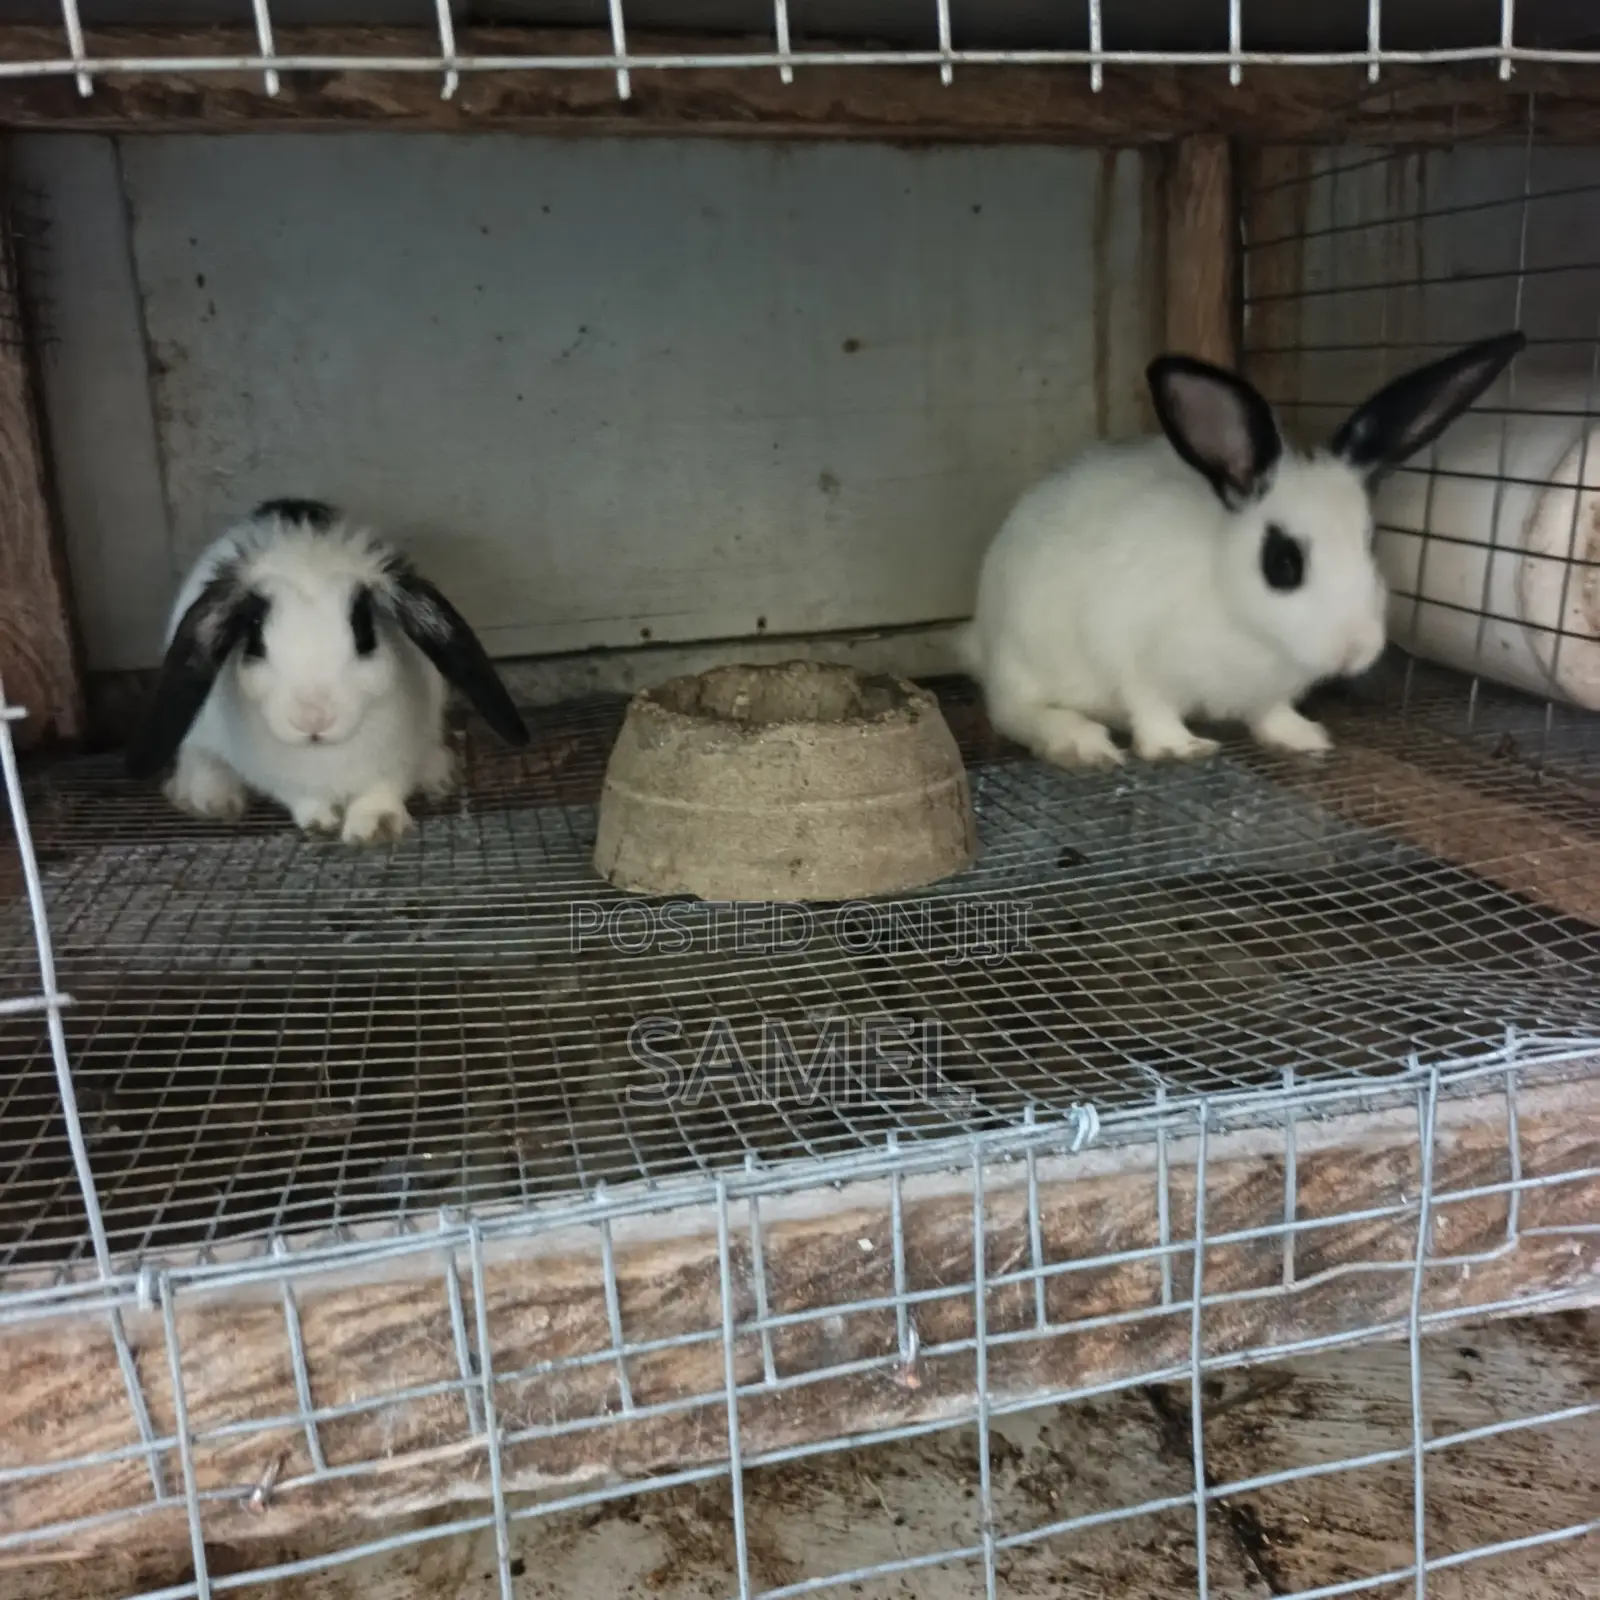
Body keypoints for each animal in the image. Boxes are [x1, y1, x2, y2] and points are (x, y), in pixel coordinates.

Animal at [126, 498, 531, 845]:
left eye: (364, 634)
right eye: (255, 639)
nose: (313, 719)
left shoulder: (397, 758)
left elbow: (382, 790)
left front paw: (376, 828)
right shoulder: (277, 775)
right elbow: (302, 798)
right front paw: (320, 824)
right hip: (200, 737)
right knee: (201, 758)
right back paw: (213, 801)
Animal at [958, 331, 1526, 769]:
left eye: (1372, 543)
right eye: (1282, 563)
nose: (1354, 651)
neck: (1244, 627)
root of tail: (981, 633)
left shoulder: (1270, 690)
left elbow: (1270, 713)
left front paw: (1304, 737)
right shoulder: (1131, 654)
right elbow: (1152, 708)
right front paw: (1180, 748)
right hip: (1024, 659)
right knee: (1013, 712)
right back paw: (1080, 743)